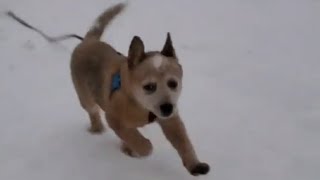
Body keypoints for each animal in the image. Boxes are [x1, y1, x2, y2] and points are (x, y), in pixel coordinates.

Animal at [70, 1, 210, 176]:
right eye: (149, 86)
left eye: (173, 83)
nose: (167, 107)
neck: (139, 103)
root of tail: (88, 41)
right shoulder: (114, 118)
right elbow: (133, 137)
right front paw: (144, 148)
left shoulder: (171, 119)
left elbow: (183, 141)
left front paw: (195, 164)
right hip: (84, 95)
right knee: (93, 111)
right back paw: (98, 129)